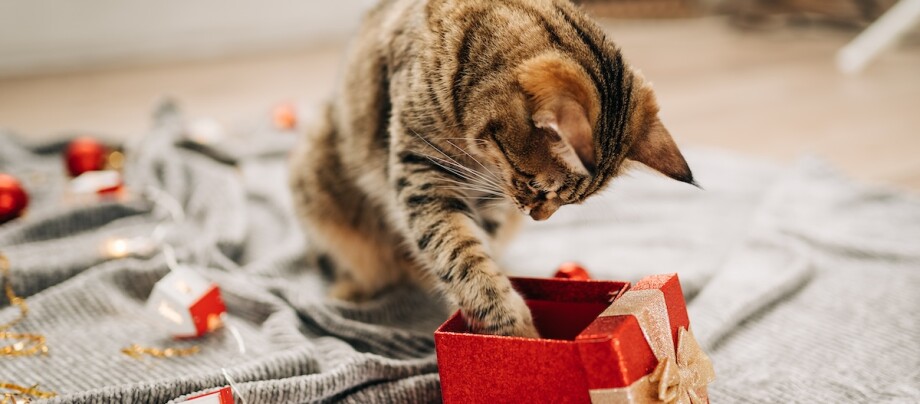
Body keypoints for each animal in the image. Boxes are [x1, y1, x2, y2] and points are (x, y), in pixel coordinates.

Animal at [288, 0, 688, 338]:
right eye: (538, 187)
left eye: (567, 203)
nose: (537, 217)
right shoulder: (425, 174)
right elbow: (460, 256)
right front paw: (514, 331)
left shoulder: (490, 200)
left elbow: (479, 249)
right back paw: (351, 289)